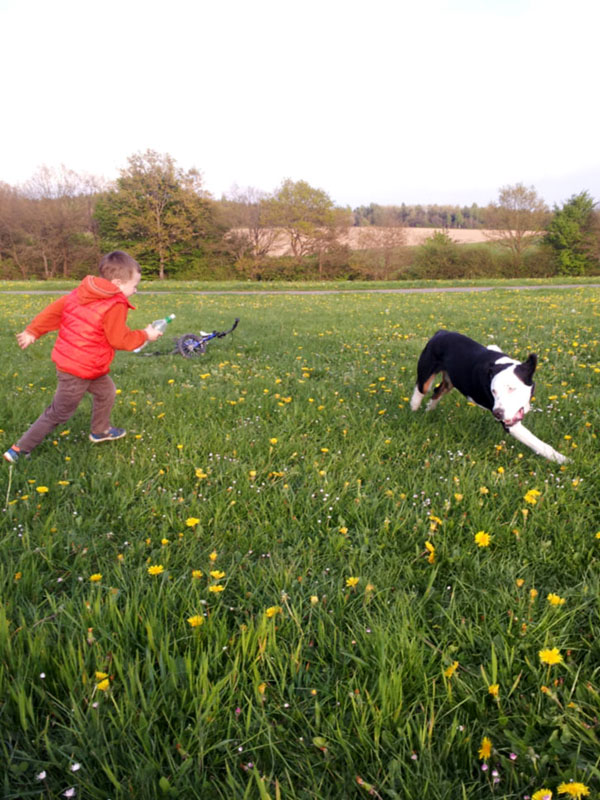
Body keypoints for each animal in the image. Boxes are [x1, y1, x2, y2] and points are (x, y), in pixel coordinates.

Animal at [410, 330, 568, 462]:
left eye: (512, 388)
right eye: (493, 391)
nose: (497, 413)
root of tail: (441, 332)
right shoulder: (511, 424)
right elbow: (537, 443)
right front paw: (562, 460)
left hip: (450, 380)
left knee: (438, 390)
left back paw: (429, 410)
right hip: (426, 373)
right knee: (421, 389)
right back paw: (414, 408)